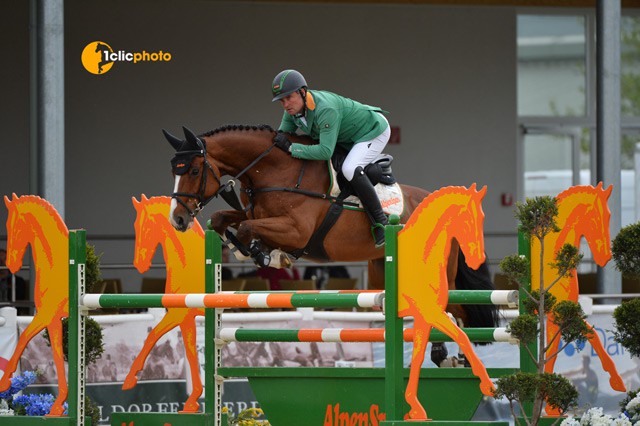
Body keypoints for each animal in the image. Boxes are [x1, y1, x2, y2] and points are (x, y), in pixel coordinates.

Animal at [0, 195, 69, 414]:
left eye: (14, 226)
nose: (11, 264)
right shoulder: (53, 320)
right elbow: (57, 356)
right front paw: (57, 407)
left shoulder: (45, 315)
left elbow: (23, 339)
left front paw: (4, 383)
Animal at [125, 196, 205, 412]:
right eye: (134, 225)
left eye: (146, 226)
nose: (139, 264)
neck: (189, 263)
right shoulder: (186, 319)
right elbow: (191, 353)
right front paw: (192, 401)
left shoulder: (177, 314)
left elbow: (152, 336)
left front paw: (130, 378)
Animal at [162, 123, 498, 330]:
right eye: (173, 171)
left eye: (194, 170)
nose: (177, 219)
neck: (274, 169)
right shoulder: (254, 212)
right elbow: (225, 219)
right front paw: (248, 249)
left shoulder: (296, 230)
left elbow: (247, 229)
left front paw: (264, 254)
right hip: (381, 269)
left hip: (440, 279)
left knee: (459, 312)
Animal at [396, 185, 496, 422]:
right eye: (467, 219)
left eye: (482, 217)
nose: (477, 259)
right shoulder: (429, 311)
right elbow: (460, 336)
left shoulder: (427, 313)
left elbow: (420, 354)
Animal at [528, 184, 628, 416]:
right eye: (595, 218)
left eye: (609, 215)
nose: (605, 257)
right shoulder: (553, 316)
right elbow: (550, 355)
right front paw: (551, 408)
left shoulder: (565, 314)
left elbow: (591, 334)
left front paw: (617, 383)